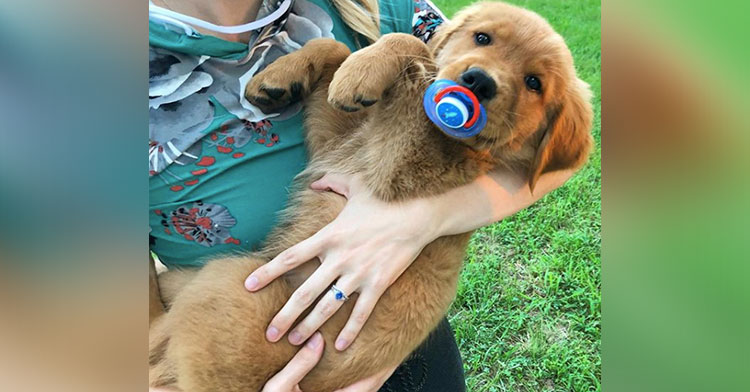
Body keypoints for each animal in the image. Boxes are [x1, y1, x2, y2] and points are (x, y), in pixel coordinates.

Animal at [150, 1, 596, 390]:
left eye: (534, 83)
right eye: (482, 37)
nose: (479, 82)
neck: (465, 147)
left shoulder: (396, 168)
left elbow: (414, 45)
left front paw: (363, 70)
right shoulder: (337, 143)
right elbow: (340, 50)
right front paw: (290, 77)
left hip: (231, 285)